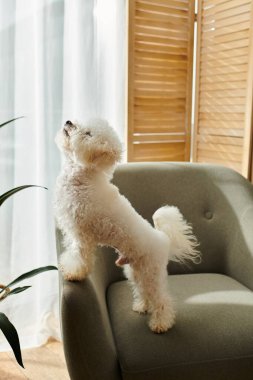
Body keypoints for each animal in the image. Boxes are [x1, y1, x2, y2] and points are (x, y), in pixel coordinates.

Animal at [53, 119, 200, 332]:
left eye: (87, 133)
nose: (68, 121)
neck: (83, 177)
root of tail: (163, 239)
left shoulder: (82, 235)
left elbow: (79, 256)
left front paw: (73, 273)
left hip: (151, 273)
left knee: (161, 299)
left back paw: (161, 323)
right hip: (135, 271)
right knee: (143, 292)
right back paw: (142, 306)